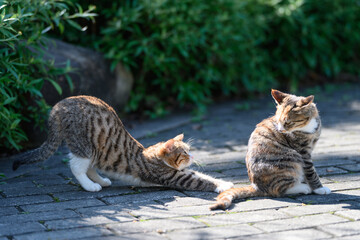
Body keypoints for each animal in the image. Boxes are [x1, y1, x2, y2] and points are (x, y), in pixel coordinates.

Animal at [12, 95, 233, 193]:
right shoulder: (174, 176)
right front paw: (221, 187)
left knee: (91, 166)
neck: (152, 154)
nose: (193, 156)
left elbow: (202, 175)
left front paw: (227, 183)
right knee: (76, 166)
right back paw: (91, 186)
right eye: (185, 153)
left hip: (97, 150)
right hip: (84, 146)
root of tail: (59, 105)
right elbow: (200, 181)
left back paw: (101, 181)